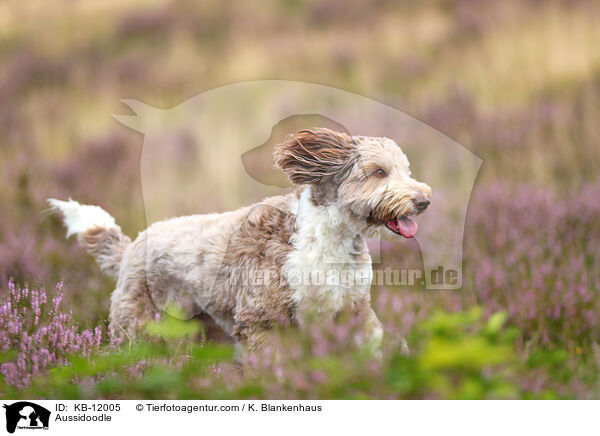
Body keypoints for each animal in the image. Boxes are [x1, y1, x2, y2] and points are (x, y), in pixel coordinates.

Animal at [48, 127, 432, 352]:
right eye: (379, 172)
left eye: (406, 171)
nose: (423, 200)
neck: (327, 239)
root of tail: (131, 246)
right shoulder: (261, 319)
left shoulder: (353, 308)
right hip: (138, 325)